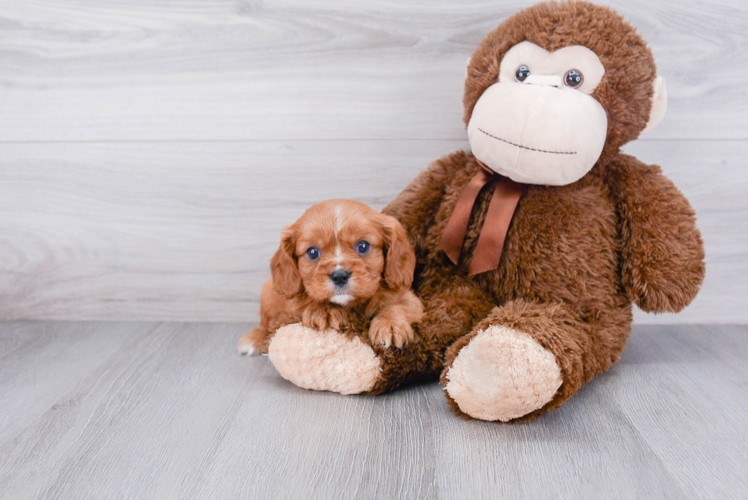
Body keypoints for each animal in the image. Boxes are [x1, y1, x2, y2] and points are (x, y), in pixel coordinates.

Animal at [240, 199, 426, 356]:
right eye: (312, 252)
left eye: (363, 246)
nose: (340, 276)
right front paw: (325, 310)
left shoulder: (410, 299)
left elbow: (395, 306)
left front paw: (390, 325)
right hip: (267, 293)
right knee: (267, 323)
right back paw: (255, 338)